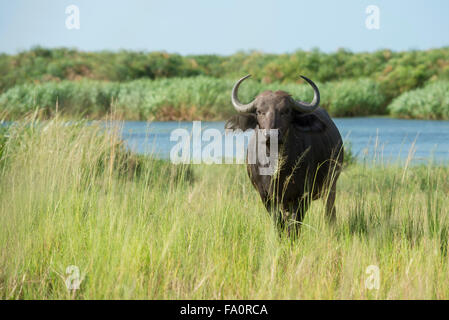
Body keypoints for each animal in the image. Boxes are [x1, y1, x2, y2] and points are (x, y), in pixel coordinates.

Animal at [224, 75, 344, 235]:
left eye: (286, 111)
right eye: (260, 111)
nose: (271, 135)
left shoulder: (302, 195)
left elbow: (294, 224)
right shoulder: (266, 196)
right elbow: (278, 222)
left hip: (330, 184)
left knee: (329, 211)